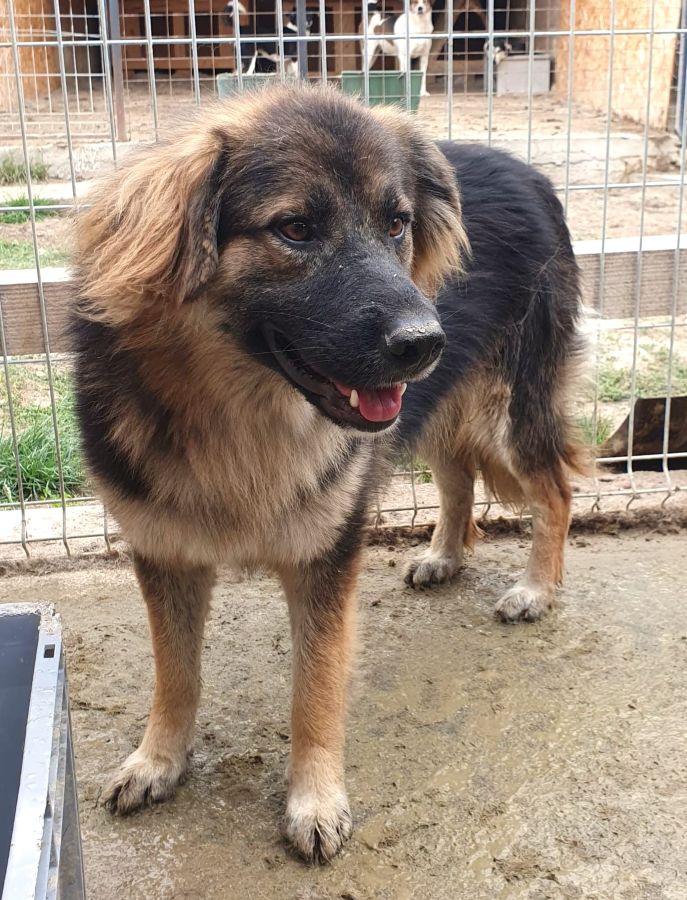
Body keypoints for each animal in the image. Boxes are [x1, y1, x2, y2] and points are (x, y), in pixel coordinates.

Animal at [71, 85, 585, 864]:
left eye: (396, 224)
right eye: (295, 229)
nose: (423, 341)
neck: (239, 416)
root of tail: (530, 172)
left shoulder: (326, 556)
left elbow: (313, 688)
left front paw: (314, 801)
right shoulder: (165, 552)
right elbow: (175, 673)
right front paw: (157, 760)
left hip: (505, 404)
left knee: (554, 488)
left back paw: (535, 588)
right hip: (439, 401)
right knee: (456, 476)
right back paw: (443, 555)